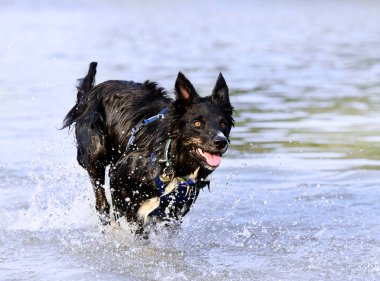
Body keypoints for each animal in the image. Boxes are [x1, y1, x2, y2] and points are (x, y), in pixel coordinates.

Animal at [62, 62, 233, 231]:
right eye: (197, 123)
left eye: (223, 124)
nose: (221, 142)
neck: (172, 160)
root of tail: (89, 93)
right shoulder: (119, 178)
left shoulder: (174, 211)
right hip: (96, 153)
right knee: (102, 205)